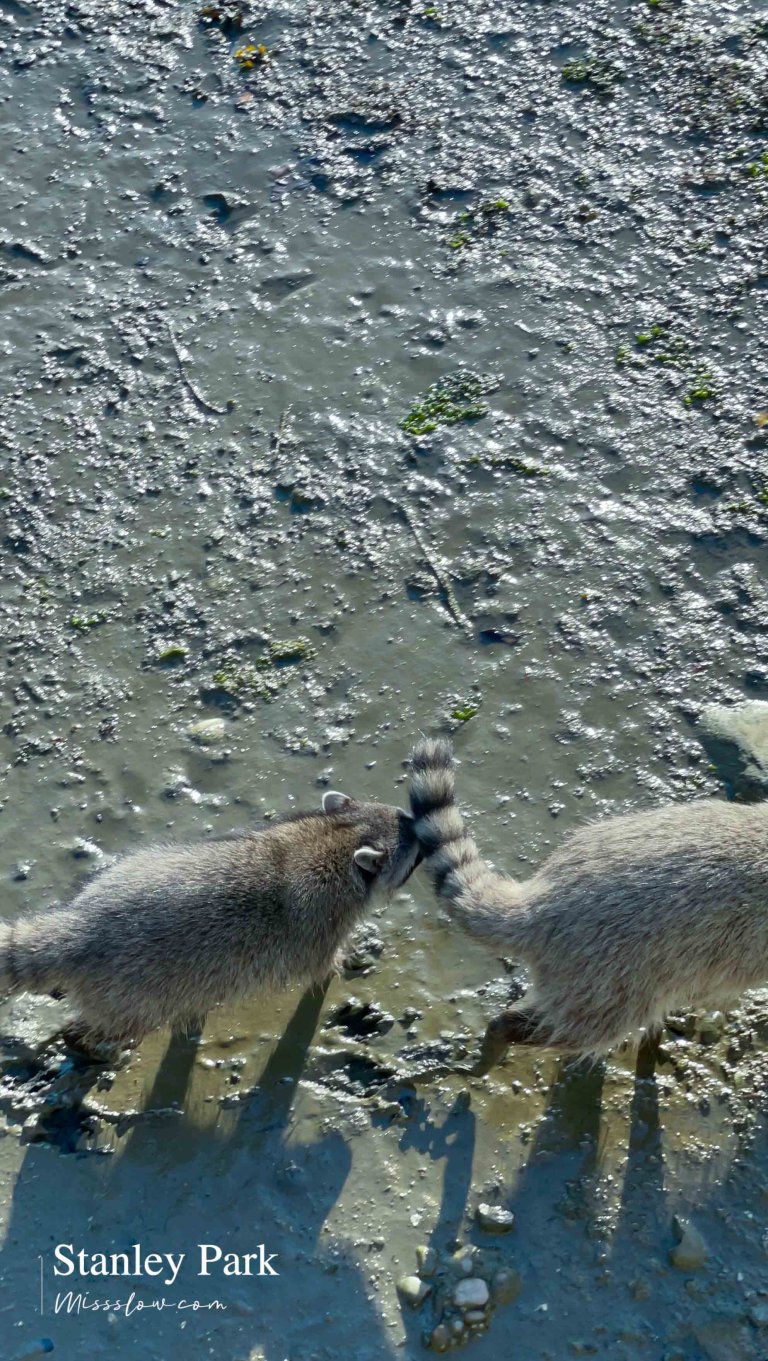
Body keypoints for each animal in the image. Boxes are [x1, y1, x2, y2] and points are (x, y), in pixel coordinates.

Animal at [0, 792, 420, 1053]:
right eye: (417, 849)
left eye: (407, 820)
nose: (425, 823)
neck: (340, 835)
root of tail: (81, 927)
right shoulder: (323, 924)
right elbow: (323, 967)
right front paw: (347, 960)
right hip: (132, 993)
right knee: (122, 1022)